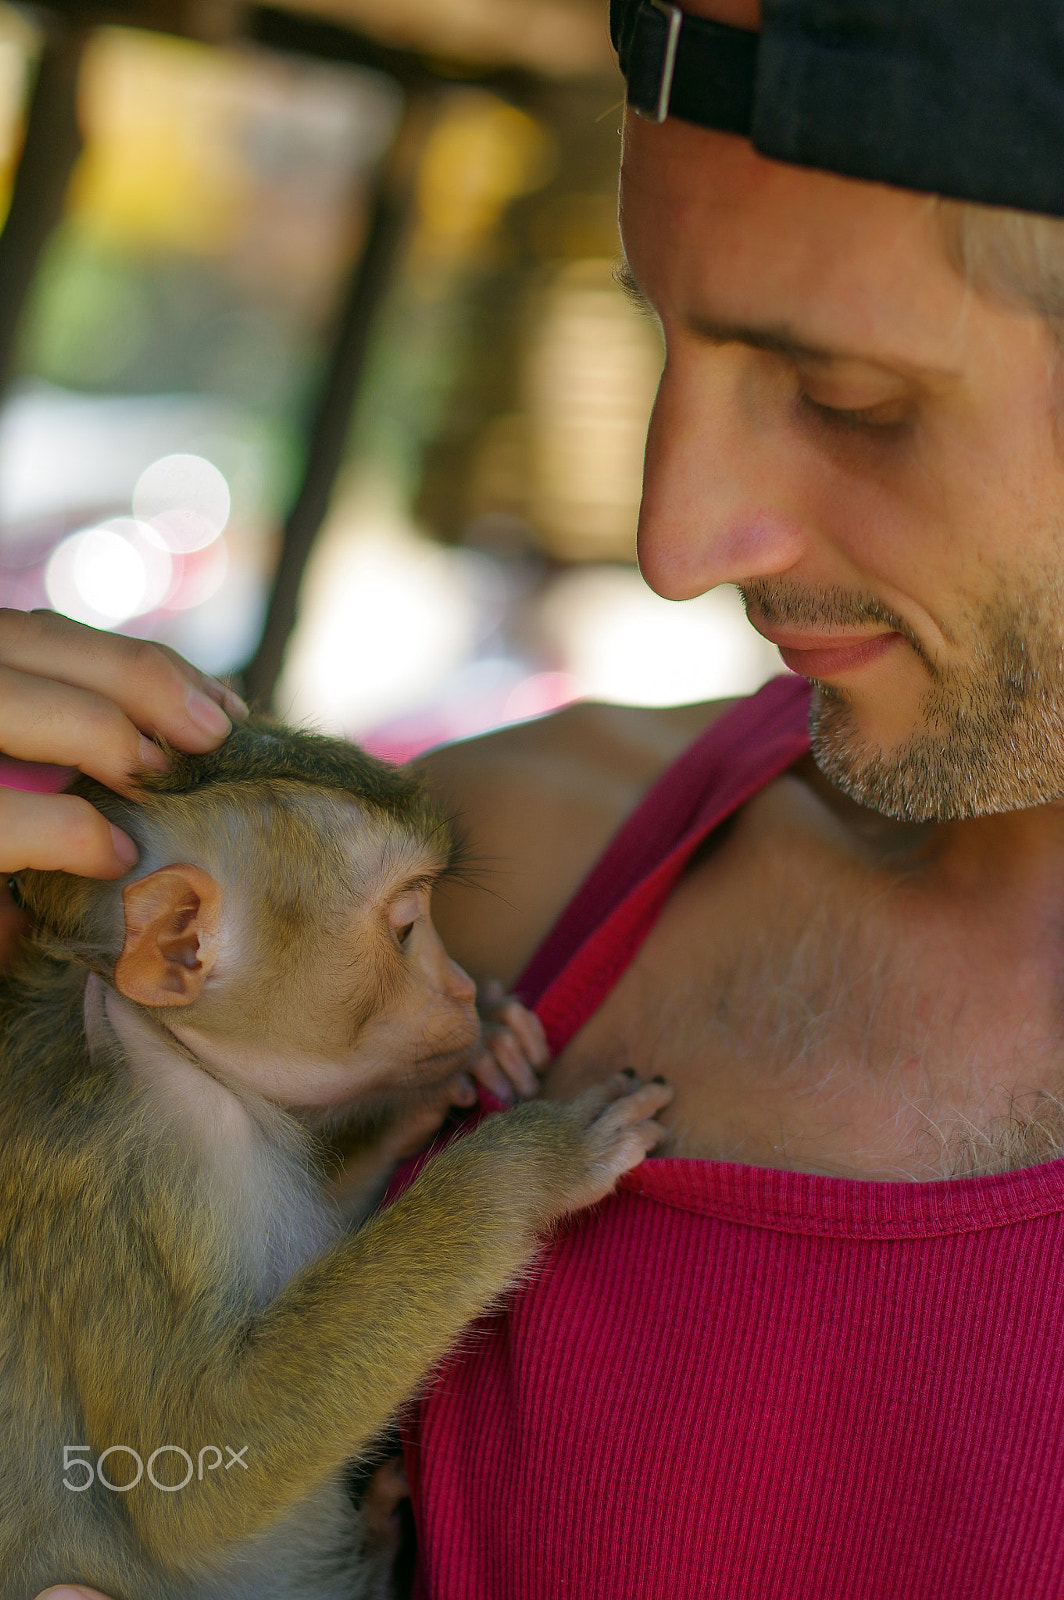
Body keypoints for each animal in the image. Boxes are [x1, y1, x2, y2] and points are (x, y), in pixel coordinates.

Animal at [0, 723, 668, 1600]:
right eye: (409, 927)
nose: (462, 990)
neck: (155, 1046)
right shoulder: (130, 1181)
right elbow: (191, 1468)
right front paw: (522, 1166)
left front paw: (465, 1071)